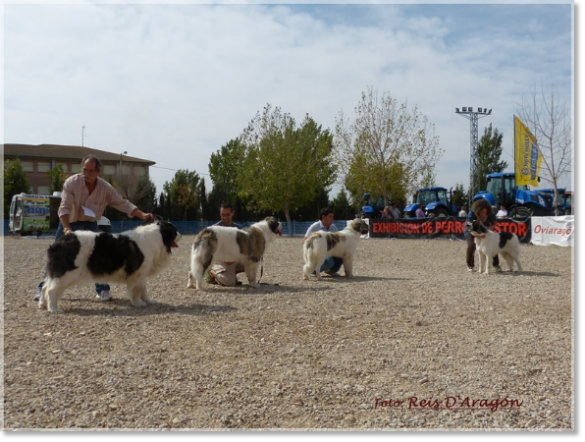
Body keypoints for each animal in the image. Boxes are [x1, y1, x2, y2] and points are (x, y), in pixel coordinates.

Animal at [39, 219, 180, 312]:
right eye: (174, 231)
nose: (180, 235)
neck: (157, 237)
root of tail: (59, 242)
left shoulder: (142, 273)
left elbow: (143, 289)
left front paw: (148, 301)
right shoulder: (135, 274)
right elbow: (135, 291)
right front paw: (138, 303)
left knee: (45, 287)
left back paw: (43, 305)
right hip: (68, 273)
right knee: (51, 290)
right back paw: (53, 309)